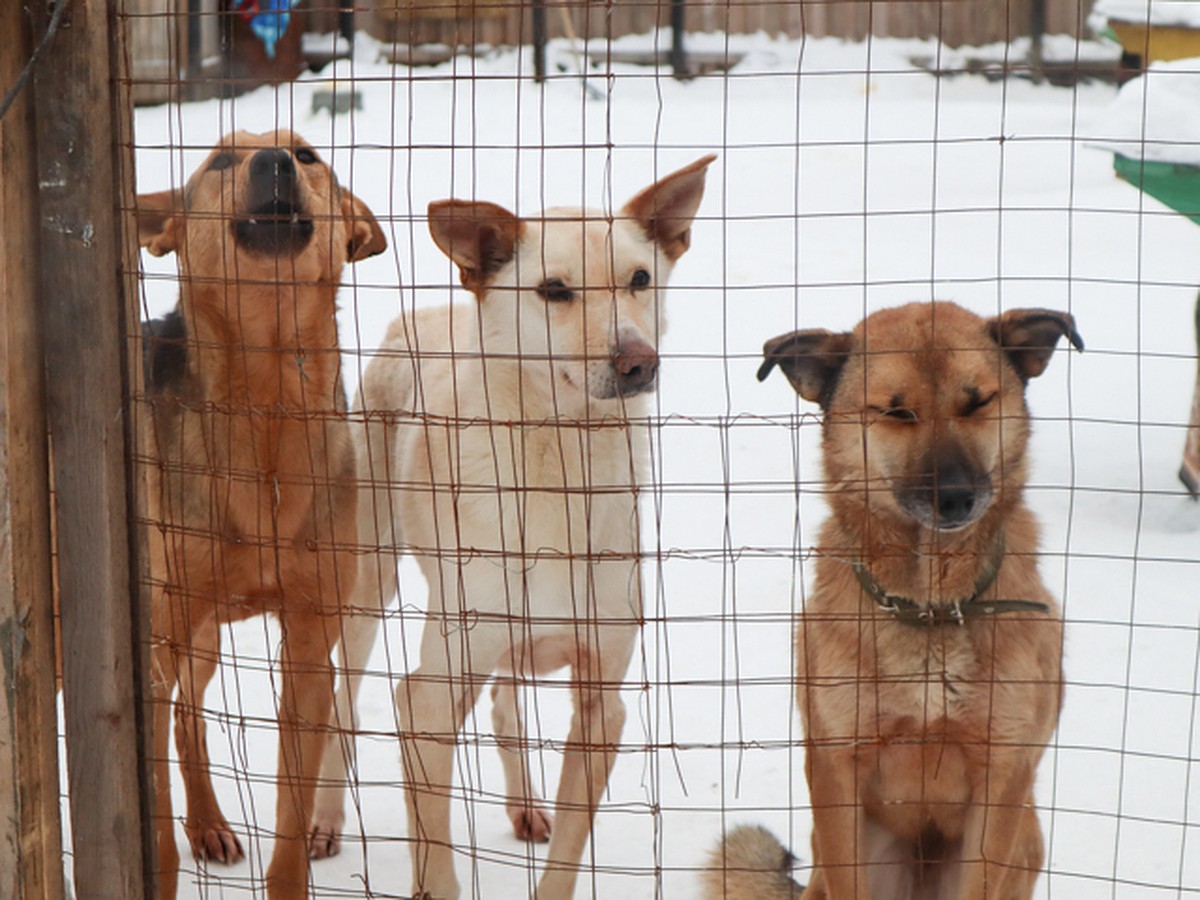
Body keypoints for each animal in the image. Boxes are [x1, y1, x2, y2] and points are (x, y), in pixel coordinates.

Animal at [138, 130, 386, 897]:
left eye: (307, 156)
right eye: (218, 160)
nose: (272, 163)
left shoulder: (309, 650)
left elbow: (290, 823)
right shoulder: (149, 643)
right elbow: (152, 831)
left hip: (202, 637)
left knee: (188, 717)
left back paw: (210, 824)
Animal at [304, 154, 710, 897]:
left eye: (640, 278)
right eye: (554, 290)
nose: (639, 362)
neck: (561, 462)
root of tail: (425, 312)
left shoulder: (602, 702)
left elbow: (567, 856)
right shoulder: (427, 703)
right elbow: (434, 856)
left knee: (502, 700)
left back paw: (524, 804)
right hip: (367, 583)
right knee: (343, 701)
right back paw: (324, 819)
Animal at [705, 303, 1084, 900]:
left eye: (977, 402)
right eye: (897, 412)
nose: (956, 497)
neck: (929, 608)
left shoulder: (1002, 777)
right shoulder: (837, 769)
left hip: (1025, 837)